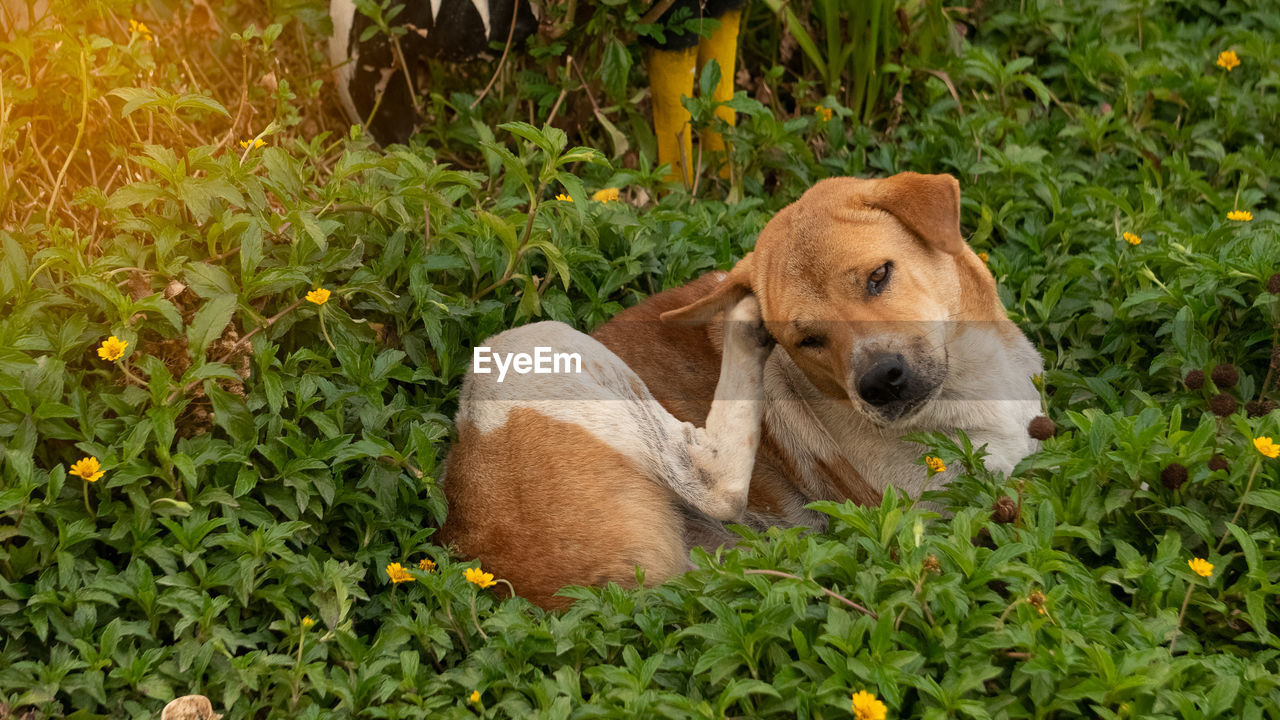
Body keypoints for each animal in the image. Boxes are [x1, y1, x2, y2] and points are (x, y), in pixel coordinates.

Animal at [440, 172, 1039, 604]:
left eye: (879, 276)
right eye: (808, 339)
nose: (880, 384)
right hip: (529, 347)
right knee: (715, 482)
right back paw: (742, 316)